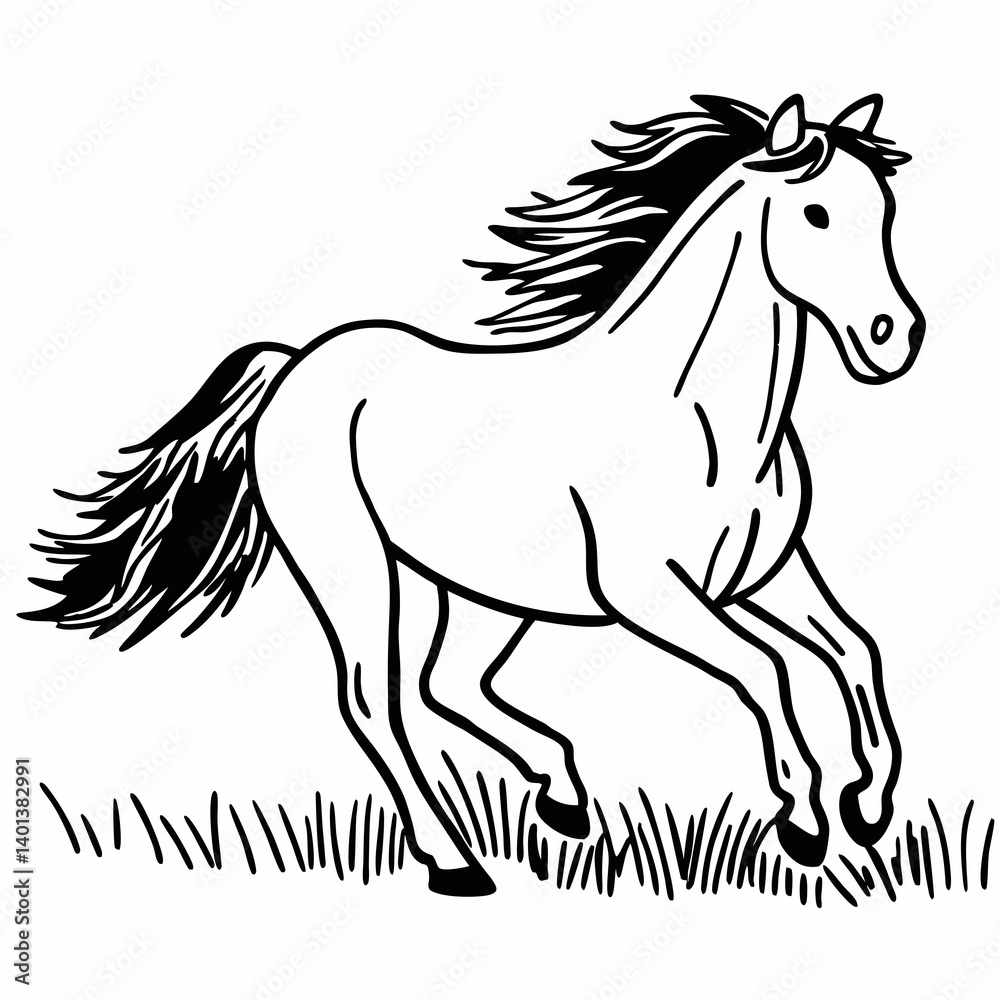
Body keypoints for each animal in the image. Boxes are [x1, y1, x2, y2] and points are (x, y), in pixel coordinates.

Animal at [22, 93, 925, 896]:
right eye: (816, 216)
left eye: (883, 212)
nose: (895, 339)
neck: (700, 413)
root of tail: (296, 366)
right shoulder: (651, 595)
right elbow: (771, 671)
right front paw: (805, 822)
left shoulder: (768, 572)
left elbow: (856, 651)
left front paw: (868, 805)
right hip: (358, 574)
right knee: (374, 701)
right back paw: (457, 863)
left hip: (470, 588)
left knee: (445, 687)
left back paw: (564, 802)